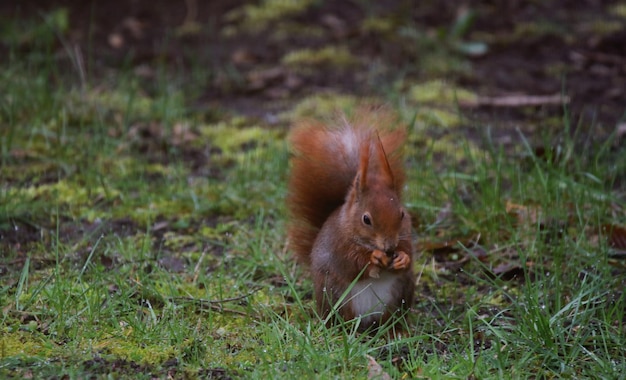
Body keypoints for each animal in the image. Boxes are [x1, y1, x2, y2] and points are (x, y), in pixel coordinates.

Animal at [286, 108, 414, 332]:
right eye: (366, 219)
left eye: (401, 214)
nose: (390, 247)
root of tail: (369, 320)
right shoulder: (340, 245)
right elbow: (352, 263)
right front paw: (374, 259)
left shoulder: (406, 234)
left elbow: (409, 253)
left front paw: (403, 258)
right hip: (335, 294)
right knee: (342, 319)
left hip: (401, 293)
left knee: (390, 319)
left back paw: (395, 331)